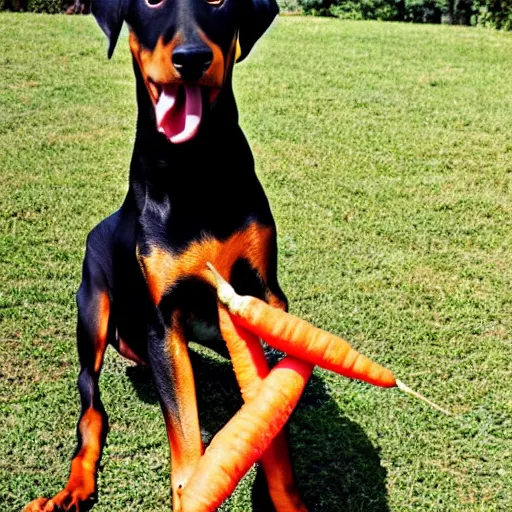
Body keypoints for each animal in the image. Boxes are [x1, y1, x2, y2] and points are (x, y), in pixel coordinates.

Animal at [24, 1, 308, 512]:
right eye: (151, 2)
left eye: (219, 3)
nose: (192, 58)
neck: (194, 167)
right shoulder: (163, 320)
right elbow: (186, 433)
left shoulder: (265, 295)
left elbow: (271, 412)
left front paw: (284, 494)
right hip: (94, 312)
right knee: (90, 404)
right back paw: (72, 488)